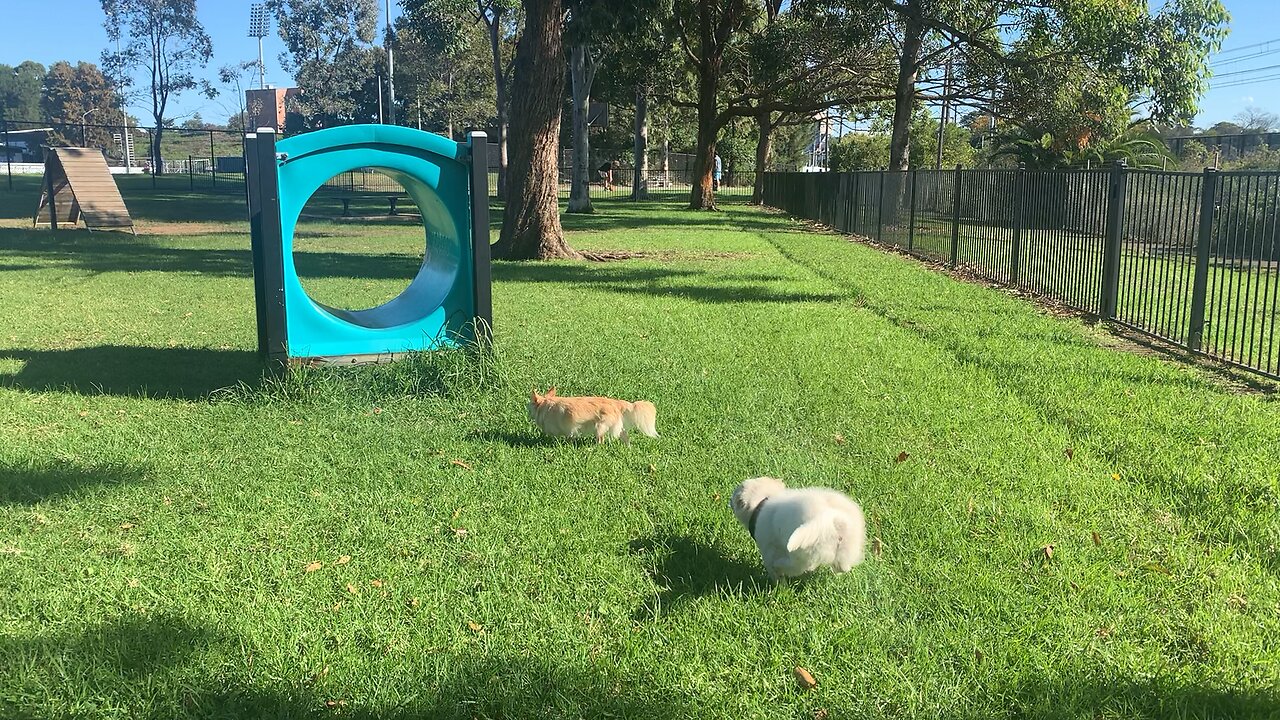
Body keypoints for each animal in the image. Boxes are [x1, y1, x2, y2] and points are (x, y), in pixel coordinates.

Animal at [732, 476, 870, 576]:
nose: (729, 499)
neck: (764, 500)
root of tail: (831, 516)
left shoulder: (768, 550)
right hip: (847, 547)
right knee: (844, 567)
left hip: (802, 554)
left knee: (796, 566)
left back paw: (780, 564)